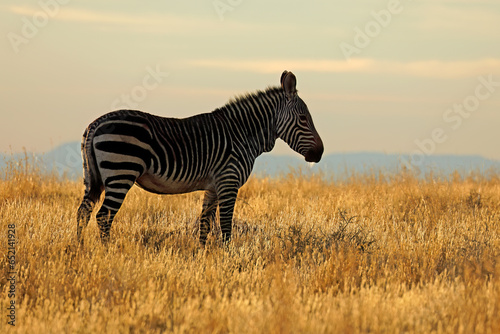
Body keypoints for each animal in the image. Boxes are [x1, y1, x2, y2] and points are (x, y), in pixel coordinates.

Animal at [75, 70, 324, 243]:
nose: (320, 153)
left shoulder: (213, 186)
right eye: (304, 119)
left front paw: (202, 257)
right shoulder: (228, 181)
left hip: (94, 176)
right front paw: (227, 259)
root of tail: (95, 124)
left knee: (83, 212)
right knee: (103, 217)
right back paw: (106, 253)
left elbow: (205, 224)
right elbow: (225, 225)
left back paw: (81, 251)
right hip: (121, 171)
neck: (243, 133)